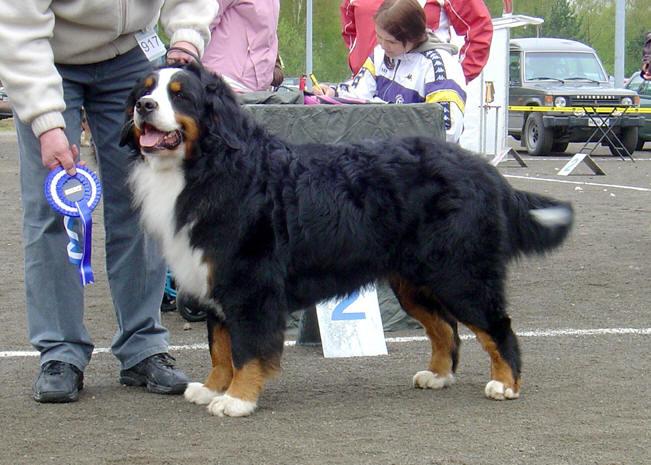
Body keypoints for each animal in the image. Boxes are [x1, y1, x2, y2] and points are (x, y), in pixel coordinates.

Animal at [119, 62, 572, 416]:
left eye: (180, 97)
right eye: (145, 90)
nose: (144, 107)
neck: (208, 166)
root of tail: (483, 169)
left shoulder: (249, 283)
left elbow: (246, 346)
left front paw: (237, 399)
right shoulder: (213, 277)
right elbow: (219, 344)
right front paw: (213, 386)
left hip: (460, 273)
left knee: (496, 326)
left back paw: (506, 384)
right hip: (414, 281)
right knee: (445, 328)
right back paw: (438, 375)